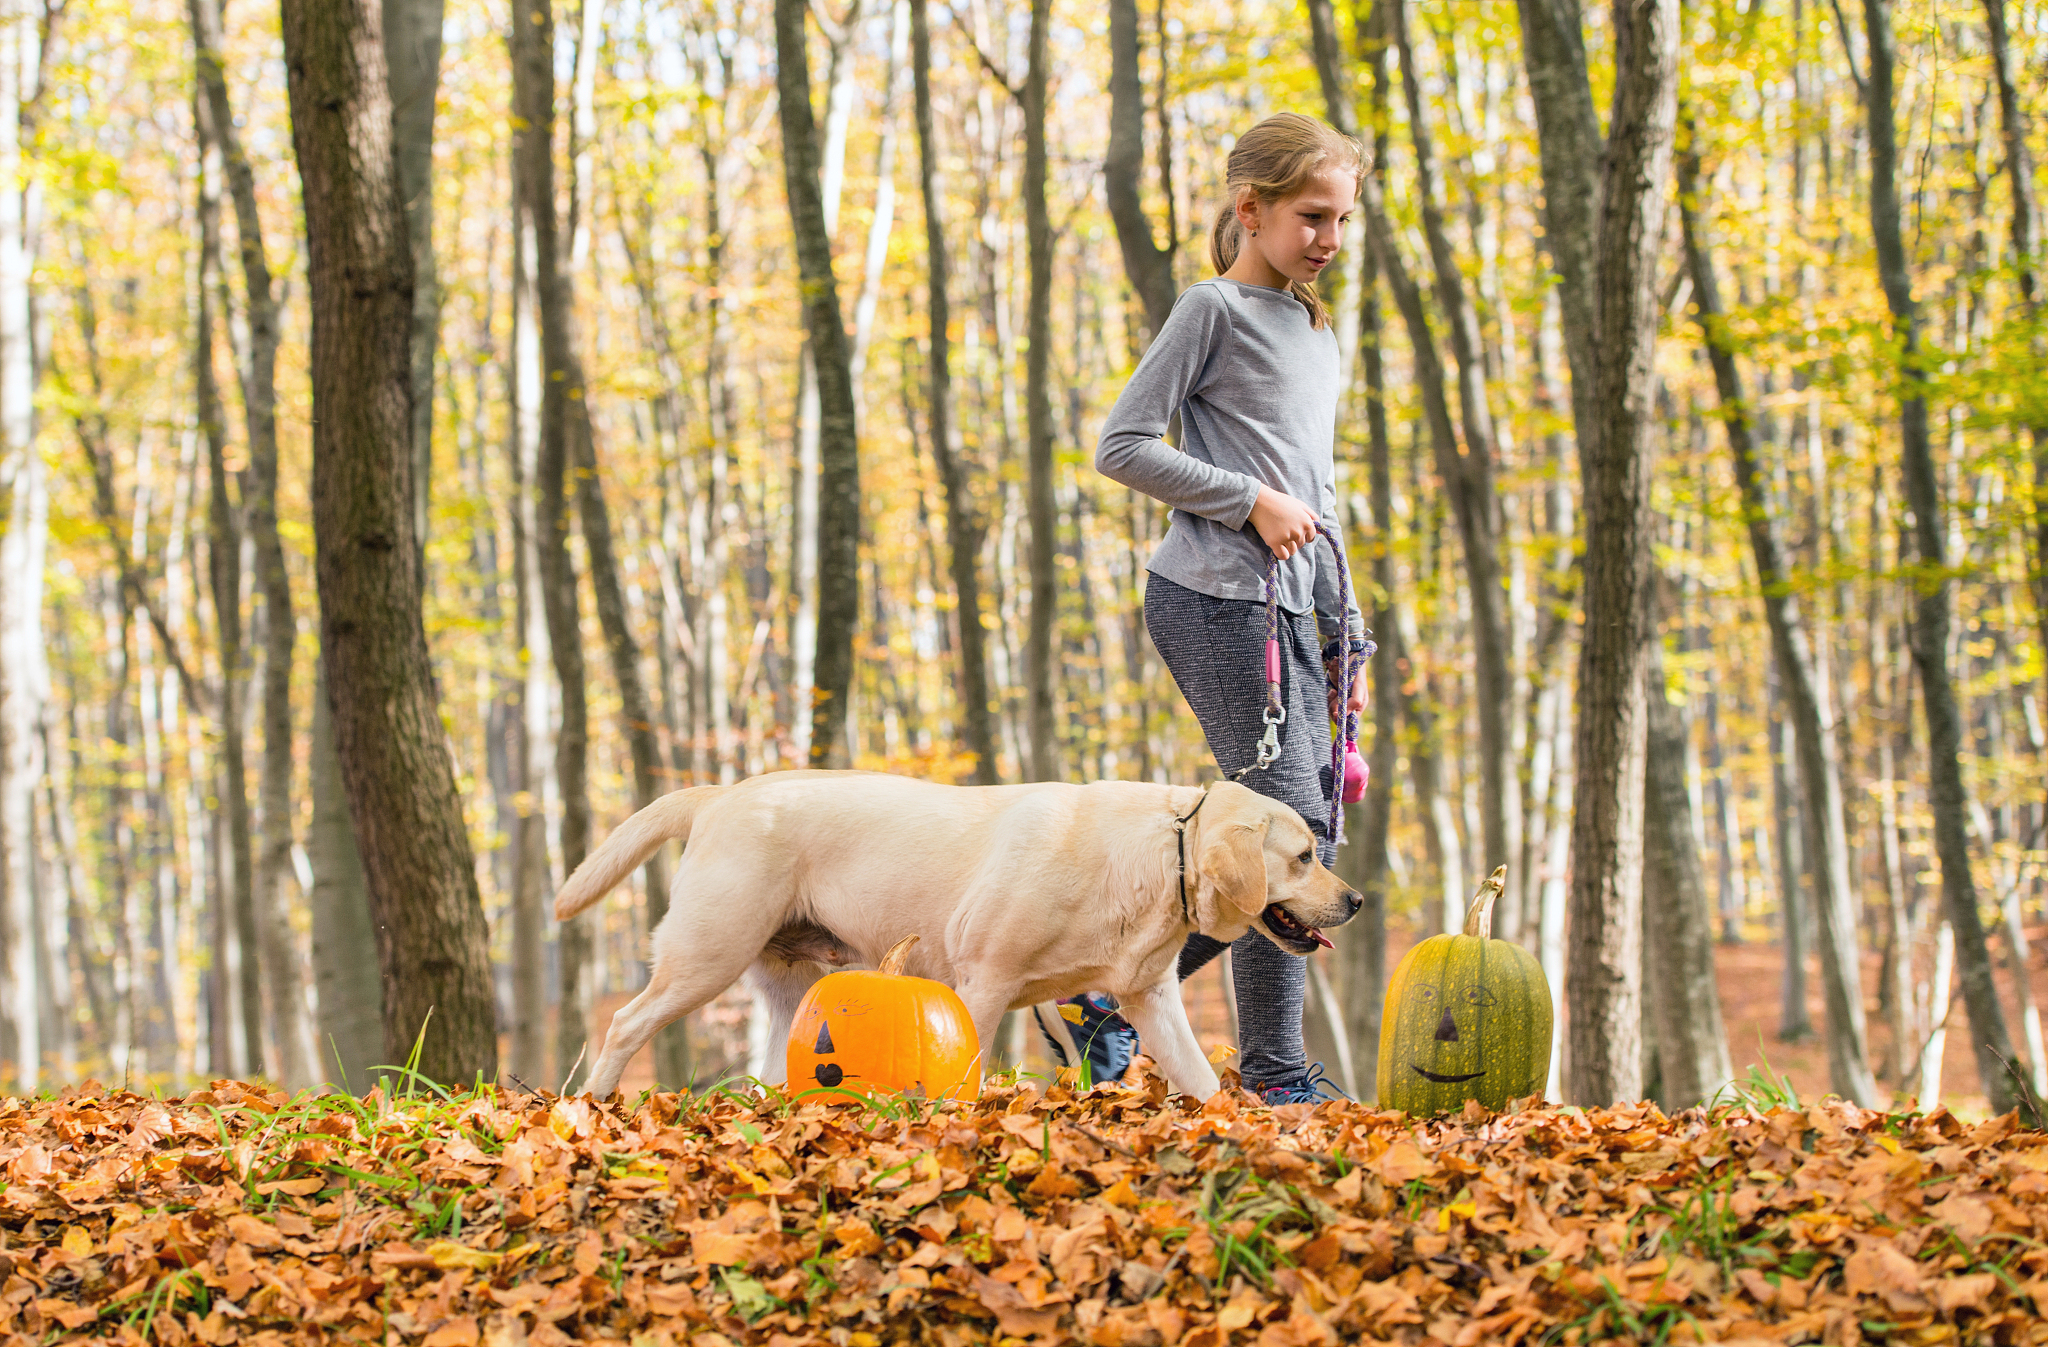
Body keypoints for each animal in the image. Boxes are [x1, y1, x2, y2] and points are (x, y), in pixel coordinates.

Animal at [552, 769, 1368, 1097]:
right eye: (1304, 856)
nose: (1357, 899)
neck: (1161, 853)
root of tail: (720, 794)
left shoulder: (1153, 1000)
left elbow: (1198, 1079)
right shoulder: (984, 983)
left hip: (791, 987)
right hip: (706, 954)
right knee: (626, 1022)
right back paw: (595, 1102)